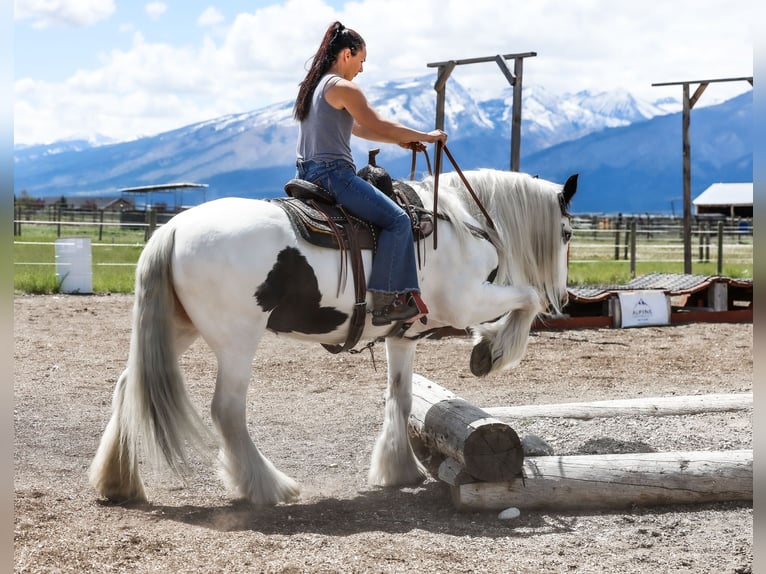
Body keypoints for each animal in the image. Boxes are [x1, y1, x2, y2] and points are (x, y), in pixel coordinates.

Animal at [90, 168, 580, 508]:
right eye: (568, 232)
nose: (564, 296)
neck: (458, 223)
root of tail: (173, 229)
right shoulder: (466, 301)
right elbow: (526, 299)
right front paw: (490, 350)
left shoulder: (403, 336)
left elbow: (400, 397)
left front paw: (397, 469)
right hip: (236, 340)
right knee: (226, 410)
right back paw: (267, 486)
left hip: (180, 328)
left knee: (126, 386)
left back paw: (118, 481)